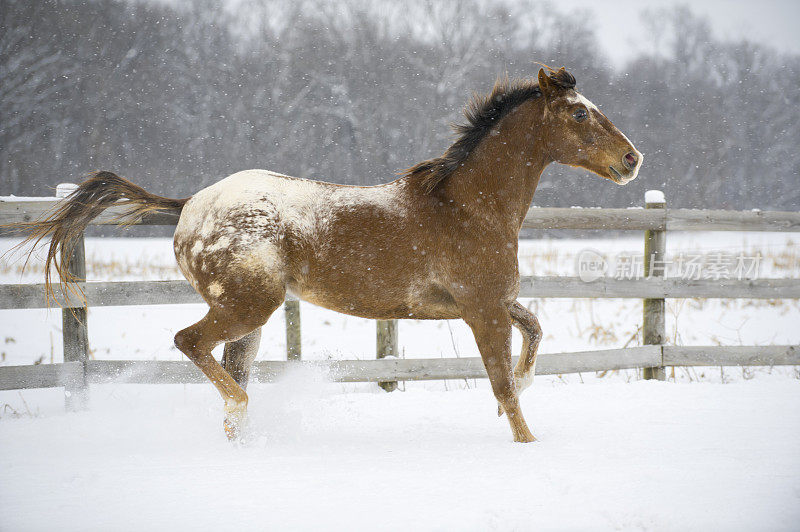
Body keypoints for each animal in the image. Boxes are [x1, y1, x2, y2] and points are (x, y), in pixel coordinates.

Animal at [15, 66, 644, 440]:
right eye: (580, 112)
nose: (632, 159)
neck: (469, 206)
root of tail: (191, 204)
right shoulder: (482, 310)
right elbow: (502, 384)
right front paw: (526, 443)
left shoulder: (482, 304)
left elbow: (534, 331)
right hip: (248, 306)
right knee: (191, 343)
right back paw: (245, 408)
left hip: (248, 318)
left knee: (225, 363)